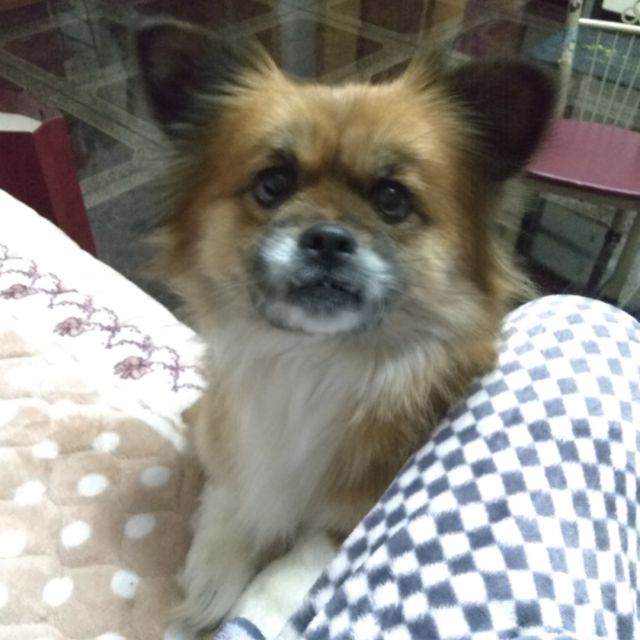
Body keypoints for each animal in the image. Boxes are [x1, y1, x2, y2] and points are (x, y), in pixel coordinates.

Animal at [136, 19, 555, 633]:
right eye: (272, 184)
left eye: (392, 198)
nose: (328, 239)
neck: (314, 361)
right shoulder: (221, 431)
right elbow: (232, 494)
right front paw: (212, 575)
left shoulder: (352, 516)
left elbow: (290, 572)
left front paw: (250, 608)